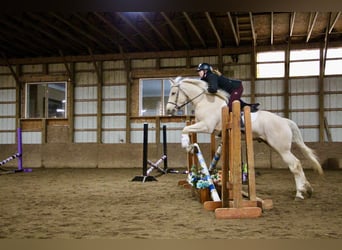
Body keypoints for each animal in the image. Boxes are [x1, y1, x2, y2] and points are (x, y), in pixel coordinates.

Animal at [166, 77, 324, 200]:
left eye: (173, 93)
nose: (168, 110)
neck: (204, 100)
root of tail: (285, 121)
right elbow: (187, 130)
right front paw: (190, 146)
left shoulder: (206, 126)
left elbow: (185, 129)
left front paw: (187, 145)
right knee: (297, 164)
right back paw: (308, 189)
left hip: (281, 149)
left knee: (295, 165)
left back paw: (300, 193)